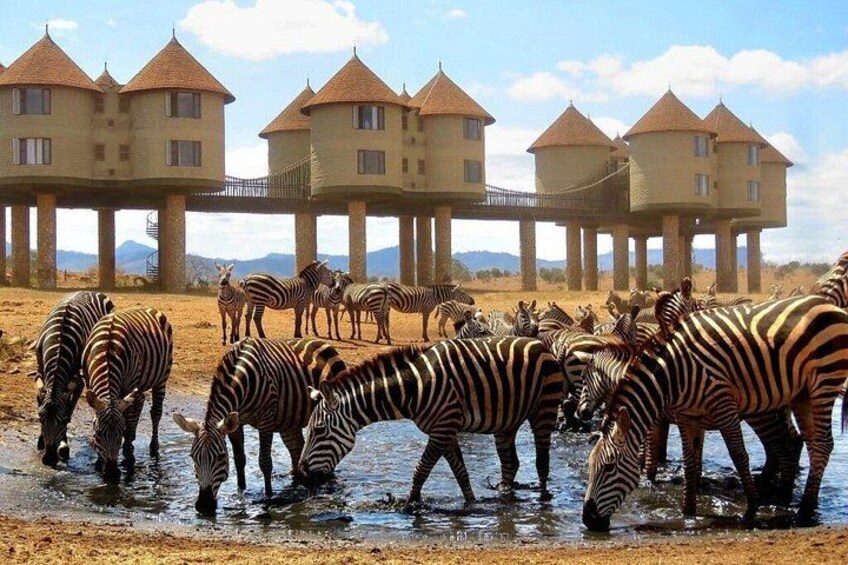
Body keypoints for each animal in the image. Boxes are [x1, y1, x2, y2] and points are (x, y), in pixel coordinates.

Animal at [33, 291, 114, 466]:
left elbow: (68, 406)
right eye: (40, 419)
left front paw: (63, 445)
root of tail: (91, 291)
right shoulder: (40, 367)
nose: (49, 459)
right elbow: (41, 398)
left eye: (62, 422)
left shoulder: (73, 371)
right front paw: (41, 440)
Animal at [82, 307, 173, 481]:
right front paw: (99, 460)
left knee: (155, 413)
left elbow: (129, 422)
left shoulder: (129, 385)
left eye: (120, 432)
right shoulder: (90, 384)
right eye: (98, 433)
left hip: (161, 378)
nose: (111, 474)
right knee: (140, 401)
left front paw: (129, 456)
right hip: (139, 385)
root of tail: (150, 308)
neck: (106, 349)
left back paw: (153, 447)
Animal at [173, 337, 345, 515]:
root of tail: (321, 342)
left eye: (220, 457)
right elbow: (239, 460)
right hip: (290, 420)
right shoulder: (236, 423)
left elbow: (265, 462)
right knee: (297, 448)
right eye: (192, 457)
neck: (242, 378)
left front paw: (268, 498)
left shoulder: (266, 421)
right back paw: (298, 480)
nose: (204, 506)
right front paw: (241, 492)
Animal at [299, 337, 564, 505]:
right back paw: (505, 497)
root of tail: (538, 342)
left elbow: (422, 468)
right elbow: (460, 471)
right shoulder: (444, 430)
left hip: (544, 408)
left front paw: (410, 504)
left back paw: (542, 499)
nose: (301, 473)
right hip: (506, 421)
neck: (413, 387)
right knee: (510, 463)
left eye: (319, 430)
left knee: (542, 461)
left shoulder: (443, 426)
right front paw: (471, 503)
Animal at [582, 294, 848, 531]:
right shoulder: (688, 417)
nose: (587, 519)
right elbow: (690, 463)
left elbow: (738, 456)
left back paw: (801, 510)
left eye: (609, 468)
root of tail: (828, 305)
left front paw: (751, 508)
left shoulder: (721, 407)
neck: (671, 377)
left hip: (822, 383)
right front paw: (688, 512)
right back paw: (790, 499)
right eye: (590, 467)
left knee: (816, 444)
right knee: (804, 444)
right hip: (801, 395)